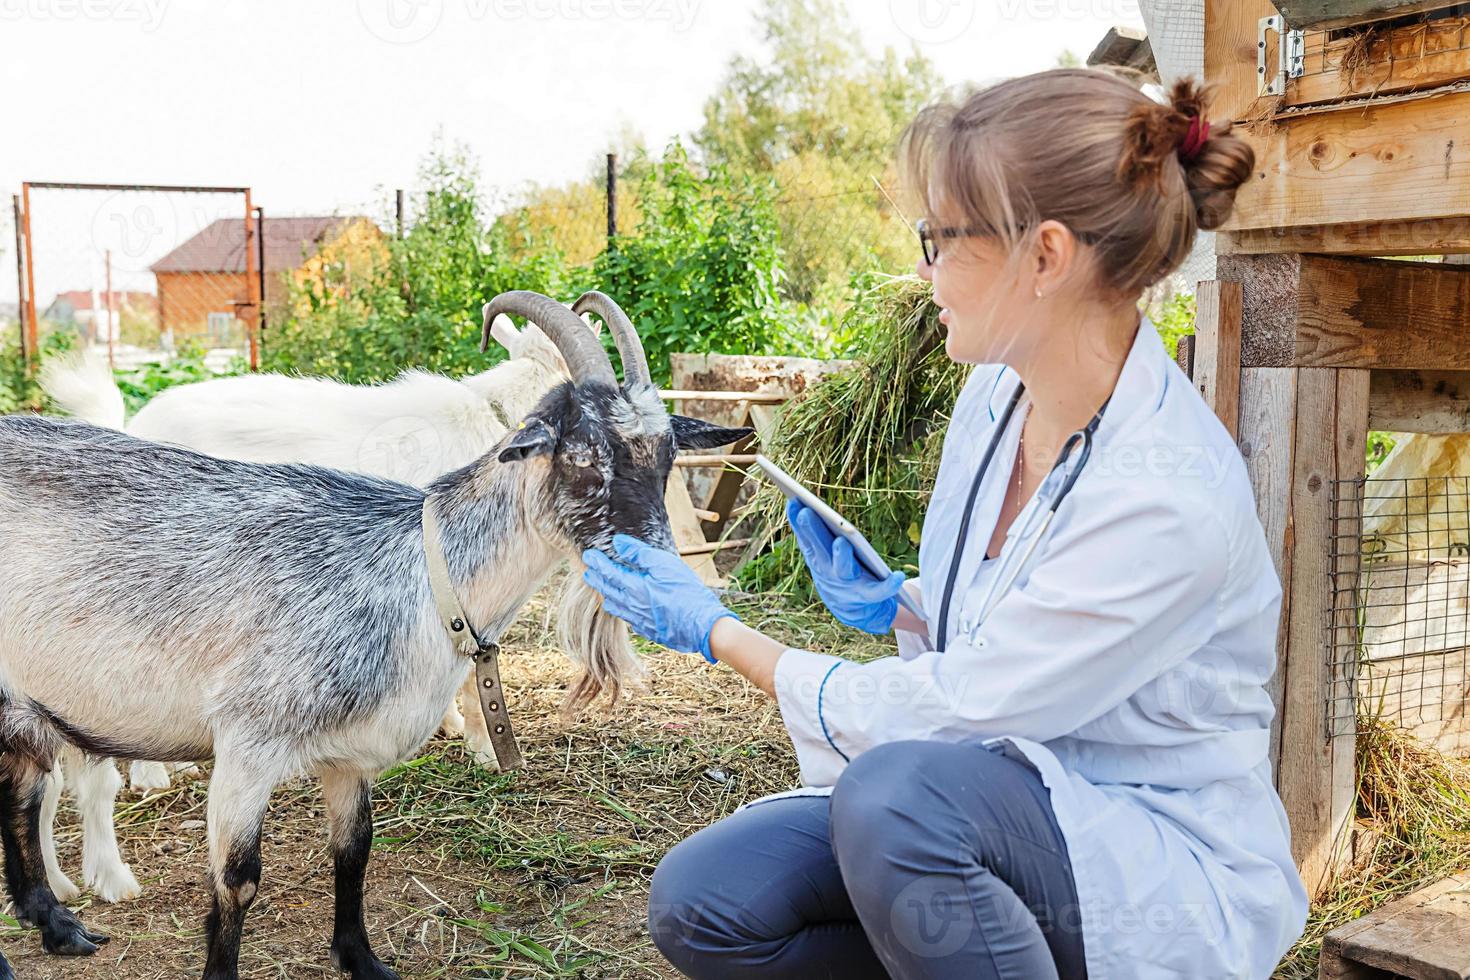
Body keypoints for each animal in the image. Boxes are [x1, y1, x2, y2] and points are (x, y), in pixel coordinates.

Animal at [0, 293, 740, 980]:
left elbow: (354, 852)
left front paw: (363, 961)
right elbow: (237, 883)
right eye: (582, 455)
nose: (661, 570)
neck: (423, 575)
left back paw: (58, 925)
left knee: (21, 791)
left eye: (666, 455)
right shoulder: (247, 743)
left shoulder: (350, 756)